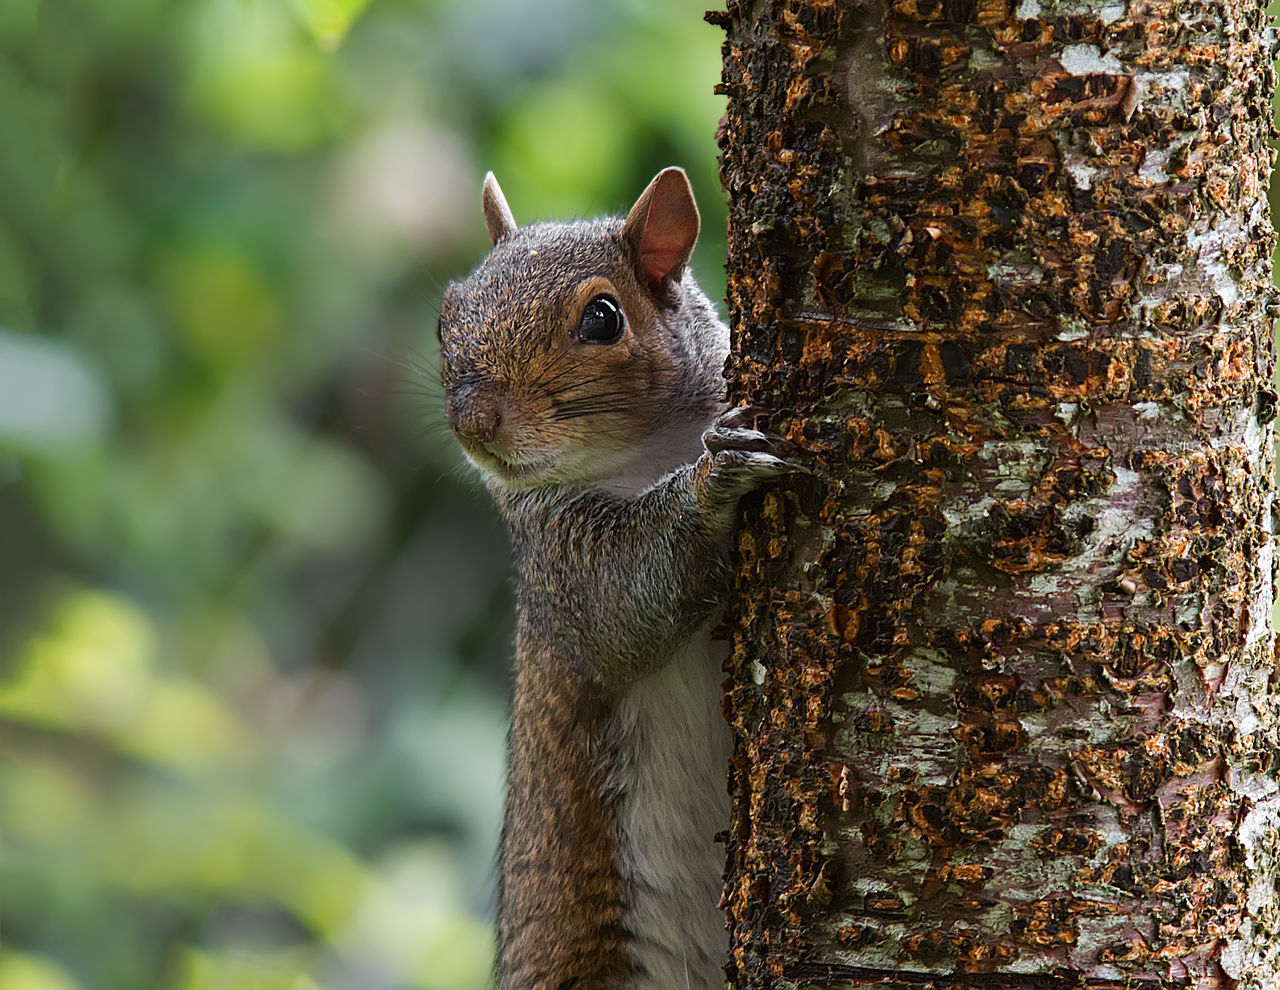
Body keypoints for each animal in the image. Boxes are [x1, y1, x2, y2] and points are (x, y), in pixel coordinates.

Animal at [435, 166, 783, 983]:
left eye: (602, 319)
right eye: (445, 317)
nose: (473, 421)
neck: (654, 448)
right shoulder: (559, 563)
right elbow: (619, 609)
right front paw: (711, 483)